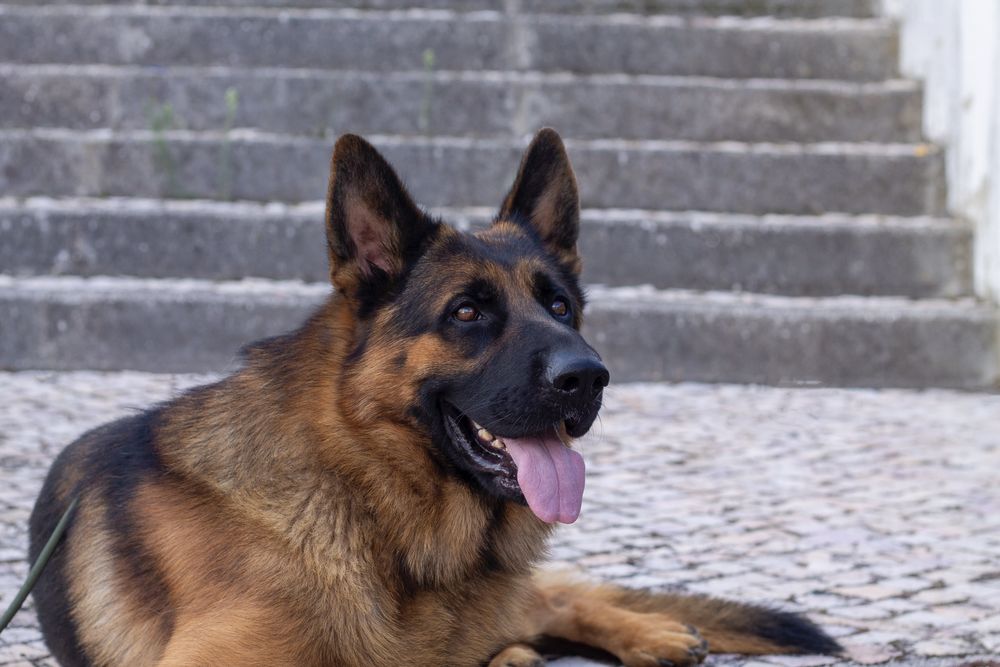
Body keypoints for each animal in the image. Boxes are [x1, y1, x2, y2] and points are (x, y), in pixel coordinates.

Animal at [29, 128, 836, 664]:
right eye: (467, 312)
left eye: (561, 307)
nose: (588, 376)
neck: (367, 509)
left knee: (553, 598)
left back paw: (650, 633)